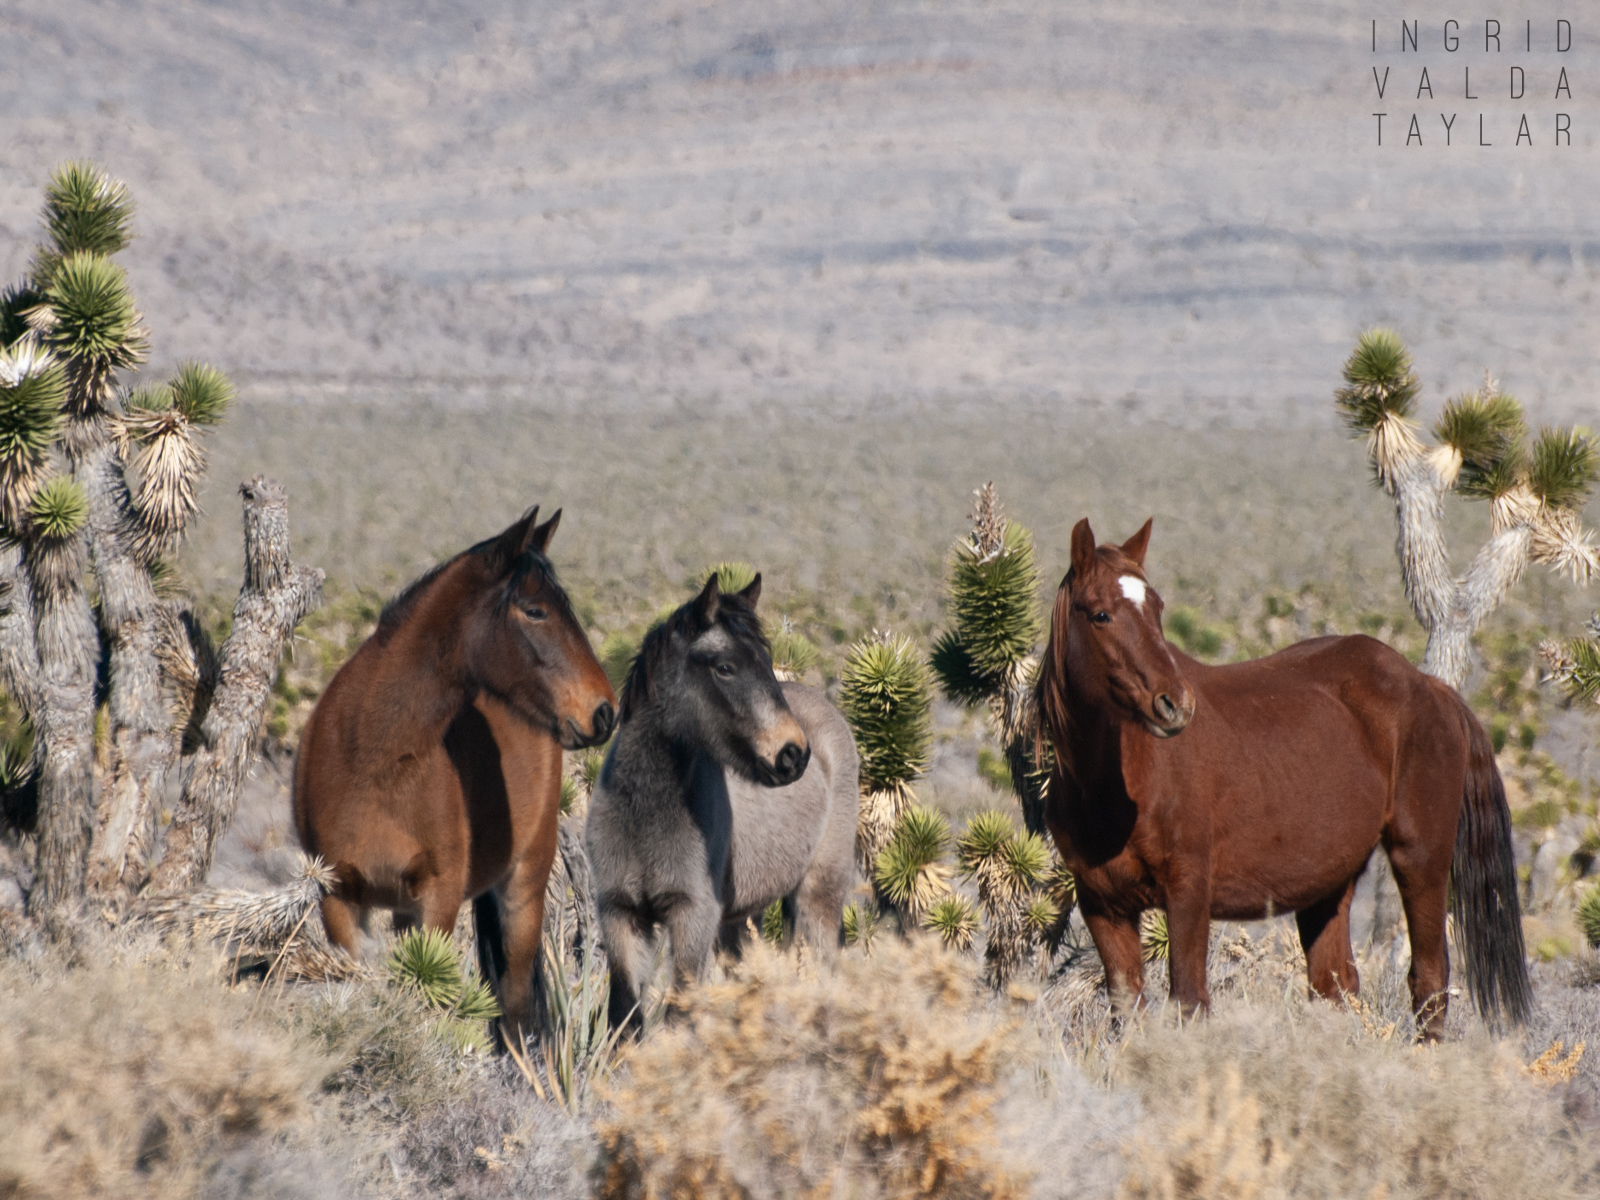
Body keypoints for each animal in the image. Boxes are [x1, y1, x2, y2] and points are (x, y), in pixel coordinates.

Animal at [291, 508, 614, 1043]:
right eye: (535, 610)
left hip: (524, 887)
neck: (370, 756)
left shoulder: (438, 902)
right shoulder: (338, 901)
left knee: (516, 1009)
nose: (604, 712)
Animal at [588, 579, 864, 1030]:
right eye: (724, 667)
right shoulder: (620, 914)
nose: (793, 754)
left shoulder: (693, 917)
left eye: (766, 661)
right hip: (740, 920)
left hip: (819, 897)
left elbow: (679, 1014)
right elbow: (625, 1017)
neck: (643, 815)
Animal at [1030, 521, 1529, 1036]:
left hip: (1421, 859)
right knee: (1334, 984)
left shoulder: (1187, 893)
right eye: (1101, 614)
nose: (1175, 704)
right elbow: (1127, 1011)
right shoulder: (1103, 907)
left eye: (1157, 607)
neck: (1114, 784)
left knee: (1429, 981)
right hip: (1330, 884)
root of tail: (1429, 687)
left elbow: (1189, 1000)